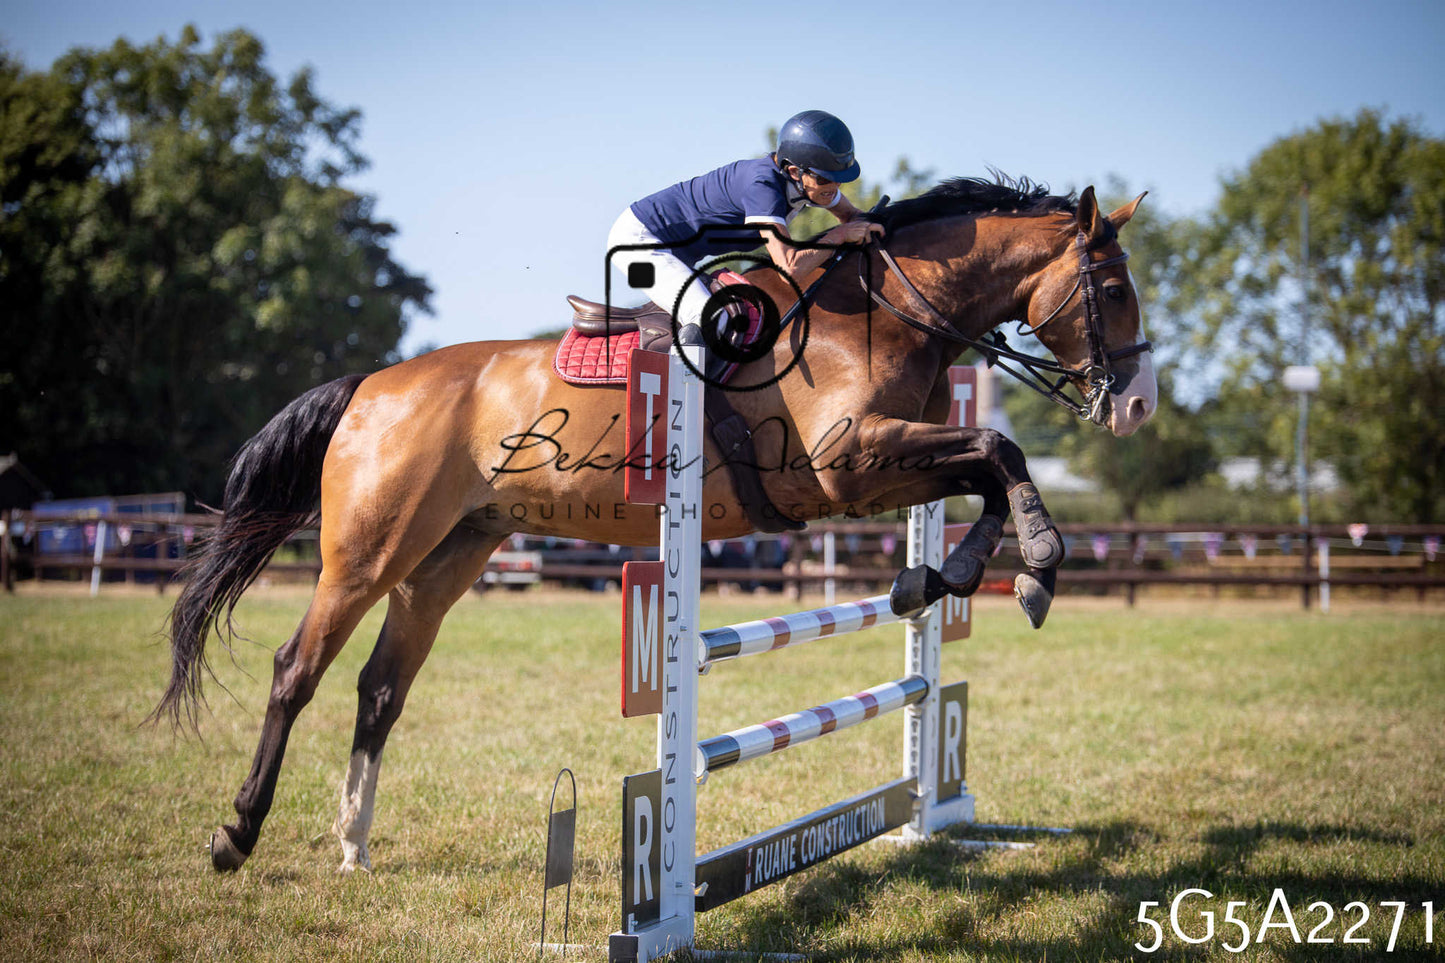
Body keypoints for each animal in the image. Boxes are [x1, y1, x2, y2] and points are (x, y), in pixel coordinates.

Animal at [155, 177, 1156, 873]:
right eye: (1112, 289)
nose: (1138, 405)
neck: (882, 316)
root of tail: (371, 384)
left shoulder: (877, 472)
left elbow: (988, 466)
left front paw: (945, 577)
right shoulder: (847, 464)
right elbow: (997, 448)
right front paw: (1037, 567)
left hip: (451, 553)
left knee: (379, 689)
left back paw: (354, 843)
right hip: (366, 553)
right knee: (296, 671)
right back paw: (235, 834)